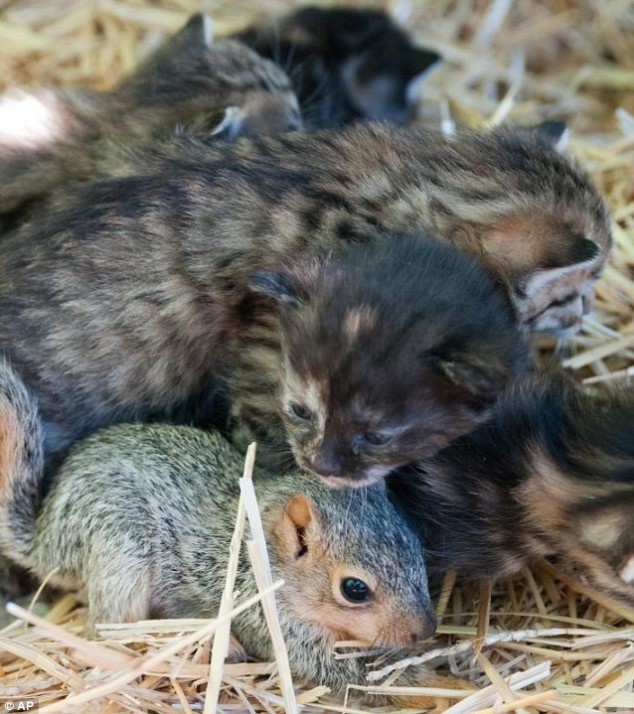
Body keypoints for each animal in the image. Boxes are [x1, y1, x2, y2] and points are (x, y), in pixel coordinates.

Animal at [0, 358, 463, 706]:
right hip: (120, 547)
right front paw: (442, 687)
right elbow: (350, 675)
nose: (425, 630)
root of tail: (48, 542)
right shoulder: (268, 617)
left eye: (415, 547)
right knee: (109, 628)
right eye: (354, 589)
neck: (261, 553)